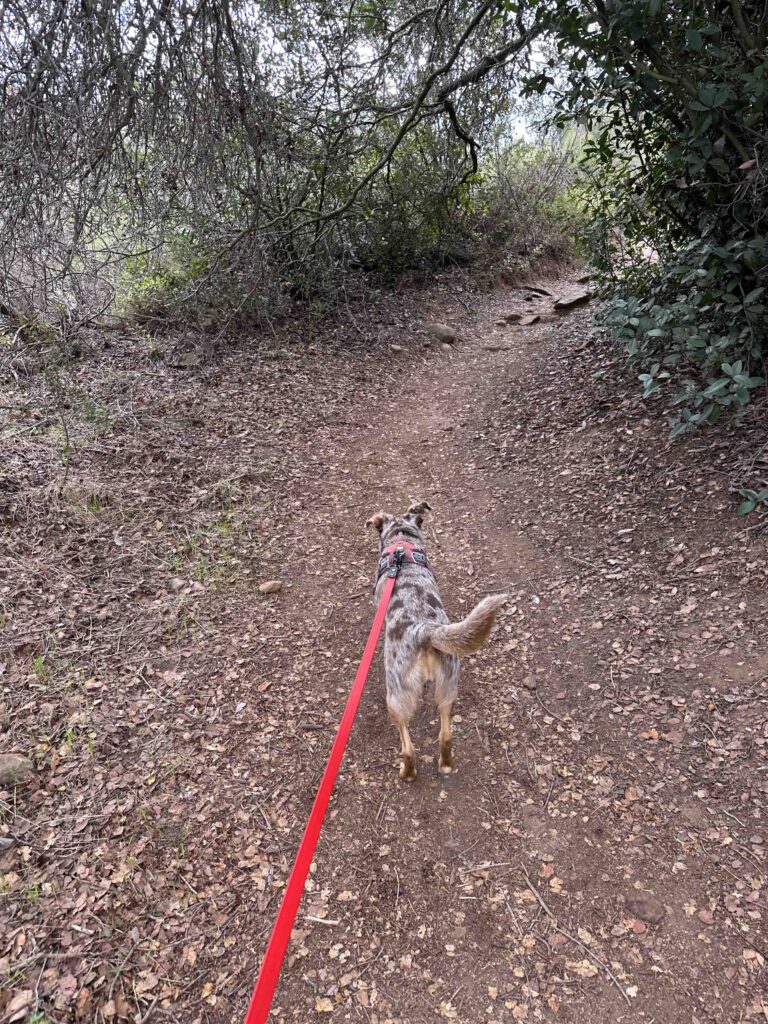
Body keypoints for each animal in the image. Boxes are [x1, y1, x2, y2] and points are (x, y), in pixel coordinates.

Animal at [368, 499, 507, 778]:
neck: (401, 541)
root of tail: (424, 630)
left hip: (397, 697)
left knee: (408, 747)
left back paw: (407, 773)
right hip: (448, 687)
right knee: (445, 735)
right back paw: (445, 763)